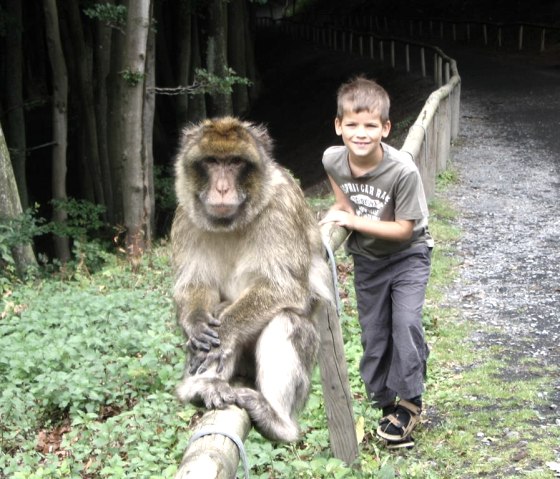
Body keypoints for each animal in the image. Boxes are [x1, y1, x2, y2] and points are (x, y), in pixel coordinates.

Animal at [171, 117, 332, 442]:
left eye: (234, 162)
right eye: (211, 162)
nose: (221, 188)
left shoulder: (282, 208)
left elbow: (285, 288)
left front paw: (225, 333)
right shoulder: (185, 216)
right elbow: (193, 286)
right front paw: (196, 323)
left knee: (288, 320)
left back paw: (276, 420)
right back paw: (200, 388)